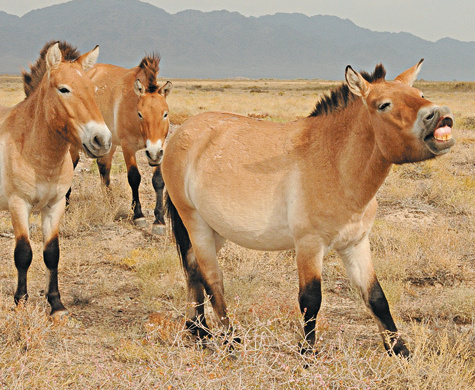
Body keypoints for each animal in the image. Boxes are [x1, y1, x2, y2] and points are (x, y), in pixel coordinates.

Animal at [0, 41, 112, 316]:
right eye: (64, 89)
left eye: (92, 89)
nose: (102, 140)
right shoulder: (19, 205)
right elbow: (23, 253)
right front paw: (21, 301)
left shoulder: (55, 205)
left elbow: (52, 253)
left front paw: (56, 305)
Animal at [69, 53, 174, 233]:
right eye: (140, 114)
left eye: (165, 114)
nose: (153, 153)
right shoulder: (128, 146)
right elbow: (134, 177)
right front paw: (138, 216)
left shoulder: (161, 147)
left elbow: (158, 180)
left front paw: (159, 221)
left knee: (103, 166)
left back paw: (110, 203)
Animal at [162, 60, 456, 356]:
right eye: (383, 104)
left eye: (419, 94)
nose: (440, 115)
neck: (335, 164)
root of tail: (180, 133)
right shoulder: (309, 245)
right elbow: (311, 300)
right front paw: (307, 354)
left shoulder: (356, 243)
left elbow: (376, 297)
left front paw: (400, 352)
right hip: (196, 223)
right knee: (212, 278)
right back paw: (230, 339)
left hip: (216, 229)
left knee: (193, 268)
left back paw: (198, 329)